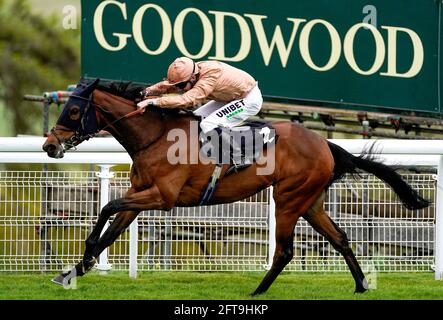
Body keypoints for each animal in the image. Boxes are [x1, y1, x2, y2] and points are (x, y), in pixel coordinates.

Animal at [42, 79, 430, 296]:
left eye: (73, 111)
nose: (49, 146)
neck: (155, 136)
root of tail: (325, 144)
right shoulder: (141, 195)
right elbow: (112, 226)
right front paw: (75, 269)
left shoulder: (162, 197)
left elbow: (108, 208)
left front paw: (86, 257)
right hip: (310, 202)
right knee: (340, 239)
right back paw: (361, 285)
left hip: (287, 199)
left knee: (285, 251)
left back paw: (257, 292)